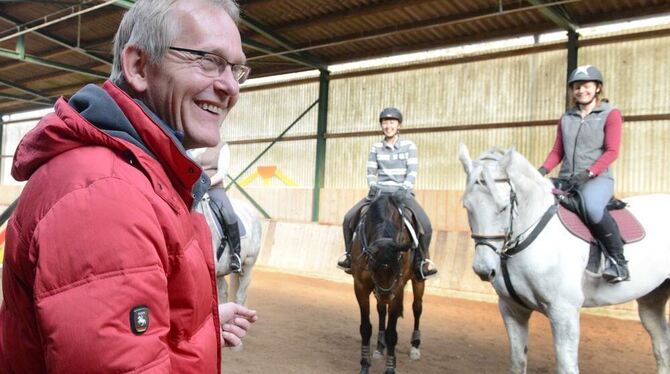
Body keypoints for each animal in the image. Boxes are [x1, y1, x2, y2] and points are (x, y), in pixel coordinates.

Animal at [352, 193, 426, 374]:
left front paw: (390, 368)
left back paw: (415, 347)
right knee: (381, 310)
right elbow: (366, 328)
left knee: (417, 308)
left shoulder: (397, 288)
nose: (386, 295)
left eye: (397, 266)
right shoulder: (360, 286)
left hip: (418, 281)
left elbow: (393, 333)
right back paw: (380, 346)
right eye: (372, 266)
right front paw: (365, 365)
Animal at [460, 145, 670, 374]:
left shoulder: (564, 311)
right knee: (661, 345)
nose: (483, 269)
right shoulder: (512, 310)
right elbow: (517, 363)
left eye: (504, 206)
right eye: (467, 207)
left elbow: (566, 366)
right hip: (652, 297)